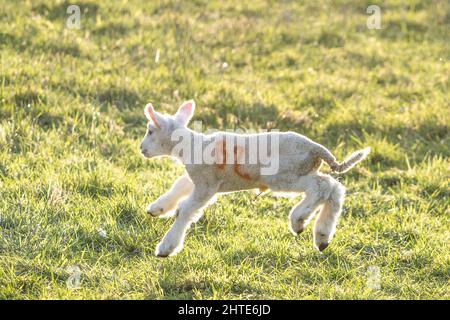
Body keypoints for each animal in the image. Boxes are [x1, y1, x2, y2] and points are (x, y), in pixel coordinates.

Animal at [140, 100, 370, 258]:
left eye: (150, 131)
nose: (141, 149)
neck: (190, 145)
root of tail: (316, 149)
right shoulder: (199, 180)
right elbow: (179, 185)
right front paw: (156, 209)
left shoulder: (207, 185)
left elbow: (185, 210)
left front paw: (166, 248)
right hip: (301, 171)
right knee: (334, 188)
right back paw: (322, 237)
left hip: (282, 175)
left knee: (321, 187)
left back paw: (298, 220)